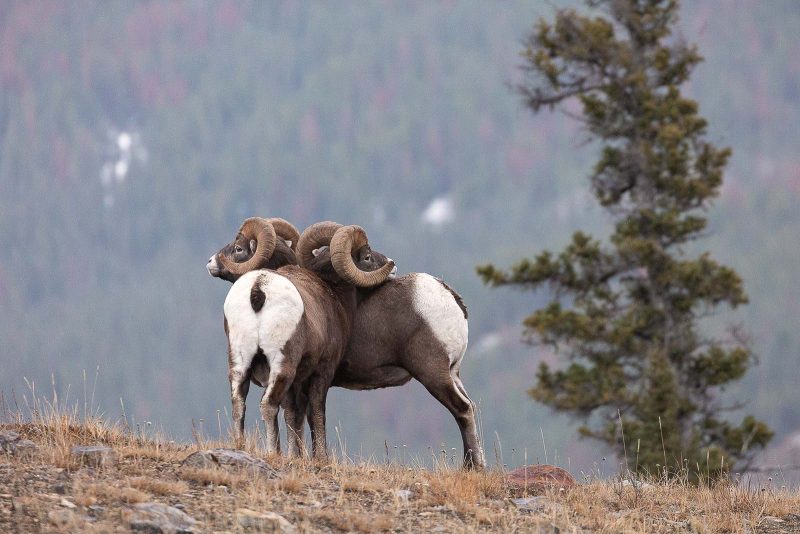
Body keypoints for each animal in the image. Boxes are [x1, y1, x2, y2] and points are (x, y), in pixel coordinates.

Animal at [209, 218, 394, 460]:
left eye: (237, 248)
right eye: (368, 257)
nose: (392, 264)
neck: (332, 293)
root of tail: (259, 288)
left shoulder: (295, 385)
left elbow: (292, 416)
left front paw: (296, 455)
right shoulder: (321, 373)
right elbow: (316, 414)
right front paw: (320, 458)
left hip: (240, 362)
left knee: (239, 402)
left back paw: (241, 446)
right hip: (282, 366)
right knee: (268, 405)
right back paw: (274, 453)